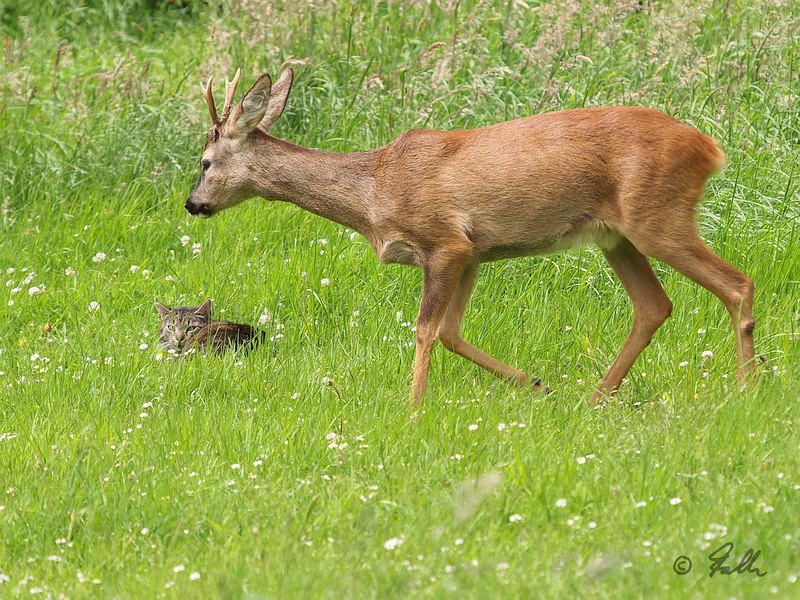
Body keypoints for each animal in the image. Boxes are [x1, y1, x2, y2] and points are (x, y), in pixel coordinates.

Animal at [184, 69, 752, 408]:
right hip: (616, 236)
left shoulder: (444, 241)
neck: (373, 190)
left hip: (658, 217)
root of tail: (710, 148)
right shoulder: (473, 253)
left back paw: (746, 386)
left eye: (205, 163)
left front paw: (412, 410)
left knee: (737, 284)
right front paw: (536, 383)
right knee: (654, 305)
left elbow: (423, 330)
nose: (193, 204)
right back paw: (593, 397)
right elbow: (452, 332)